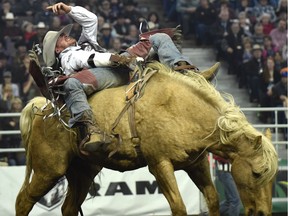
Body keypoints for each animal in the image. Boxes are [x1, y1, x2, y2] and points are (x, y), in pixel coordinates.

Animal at [15, 61, 276, 215]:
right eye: (256, 173)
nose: (263, 213)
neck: (180, 109)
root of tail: (43, 108)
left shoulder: (197, 163)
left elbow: (212, 199)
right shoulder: (159, 164)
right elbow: (178, 207)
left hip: (82, 171)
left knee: (69, 207)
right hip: (49, 169)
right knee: (23, 200)